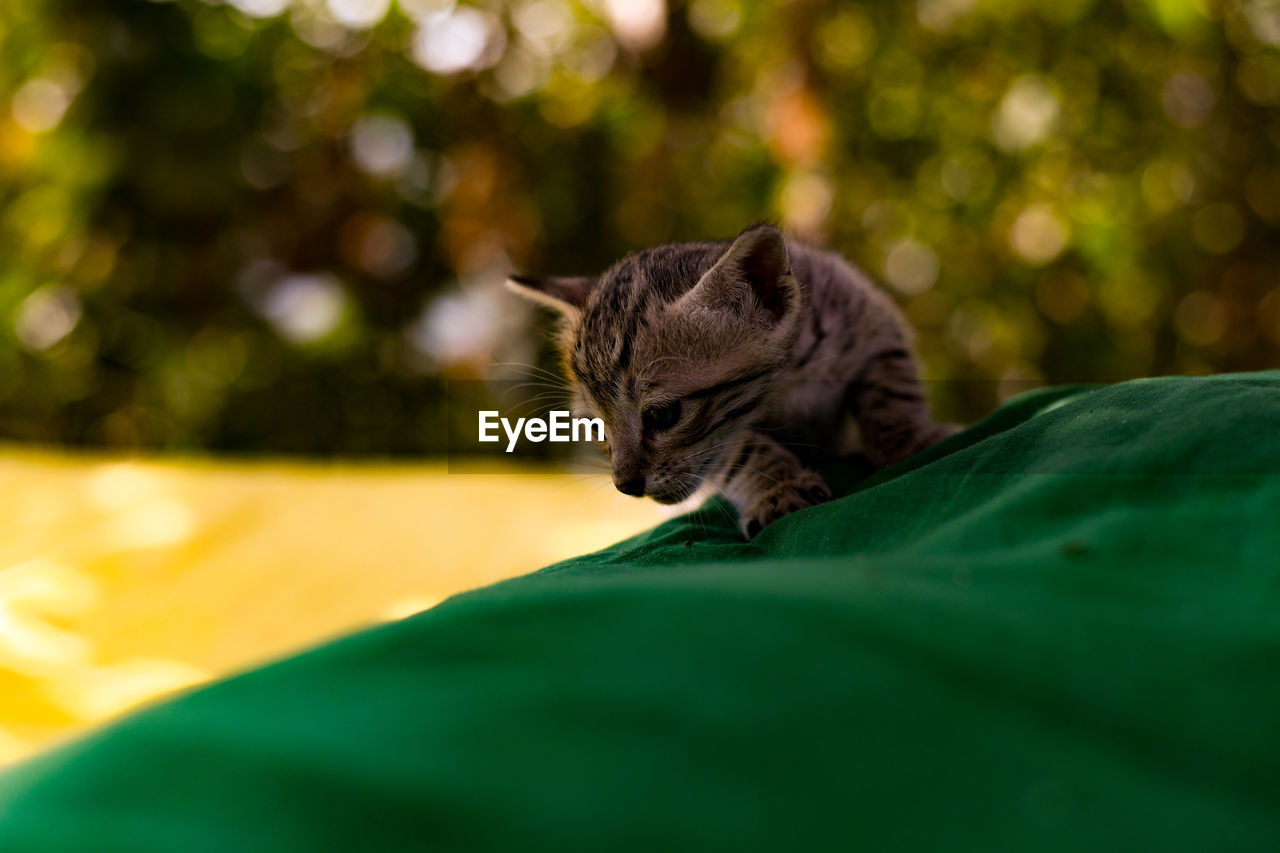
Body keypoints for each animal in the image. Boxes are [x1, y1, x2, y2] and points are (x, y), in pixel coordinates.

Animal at [504, 222, 957, 535]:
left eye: (663, 415)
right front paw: (777, 488)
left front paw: (908, 439)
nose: (624, 484)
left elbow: (889, 392)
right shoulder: (719, 441)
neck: (786, 381)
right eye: (597, 429)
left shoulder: (873, 322)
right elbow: (740, 449)